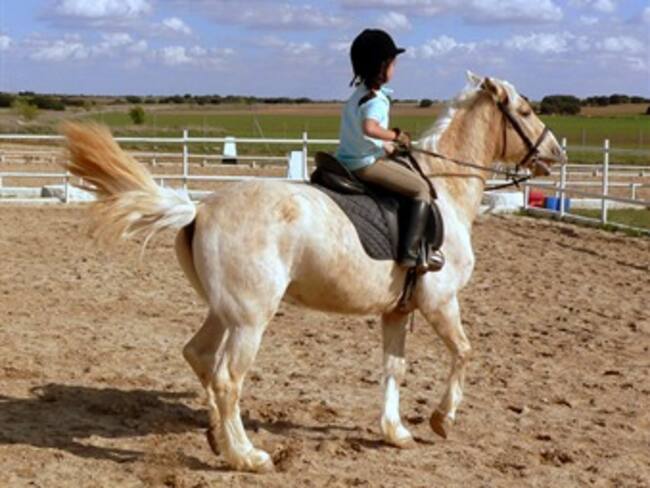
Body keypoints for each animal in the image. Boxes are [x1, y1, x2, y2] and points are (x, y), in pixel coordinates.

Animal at [61, 72, 565, 473]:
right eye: (524, 110)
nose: (556, 153)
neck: (444, 191)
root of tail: (200, 209)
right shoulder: (440, 302)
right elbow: (463, 352)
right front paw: (442, 420)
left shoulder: (398, 311)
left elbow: (394, 368)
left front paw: (395, 432)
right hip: (250, 320)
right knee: (227, 379)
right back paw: (248, 456)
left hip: (225, 312)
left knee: (199, 356)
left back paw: (218, 441)